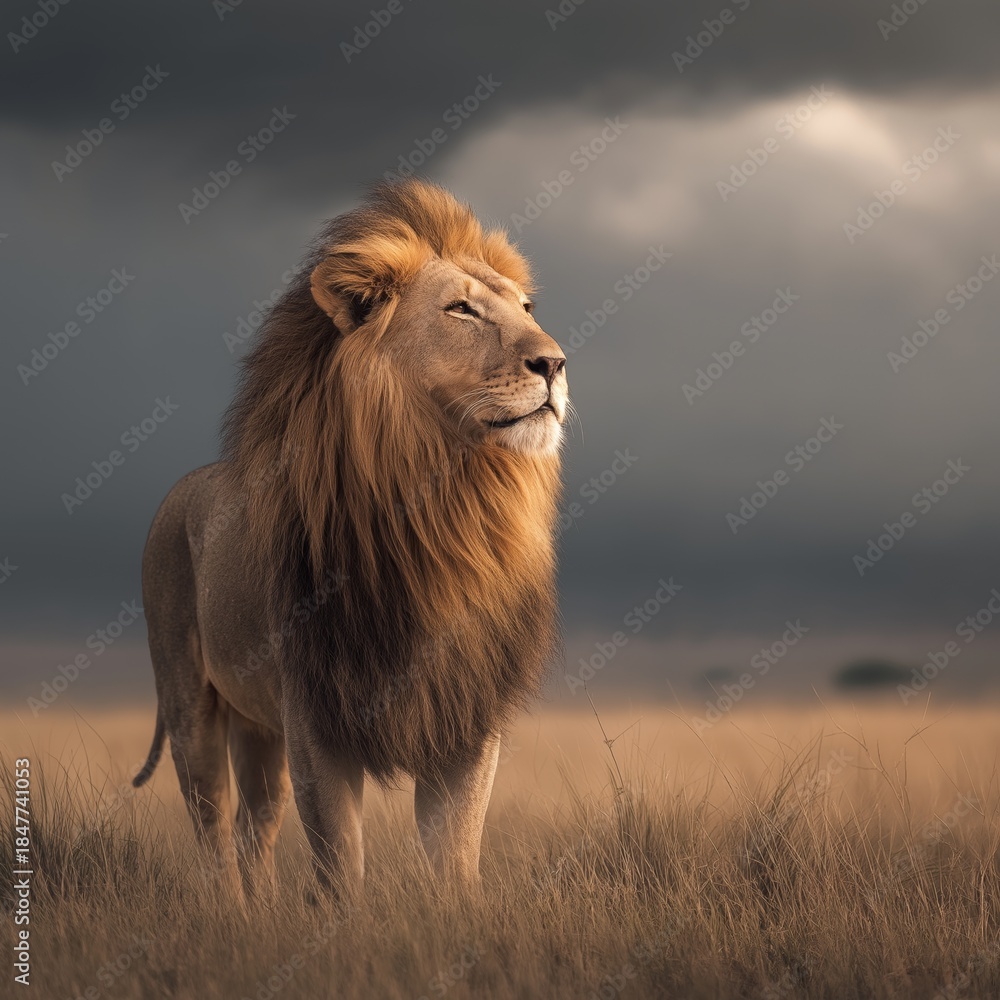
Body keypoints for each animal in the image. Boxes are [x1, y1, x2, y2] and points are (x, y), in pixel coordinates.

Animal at [134, 179, 569, 899]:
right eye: (460, 310)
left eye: (527, 307)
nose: (555, 363)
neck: (448, 507)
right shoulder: (317, 716)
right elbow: (340, 865)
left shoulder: (465, 713)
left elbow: (455, 858)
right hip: (191, 702)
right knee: (215, 832)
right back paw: (228, 915)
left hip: (260, 729)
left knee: (255, 828)